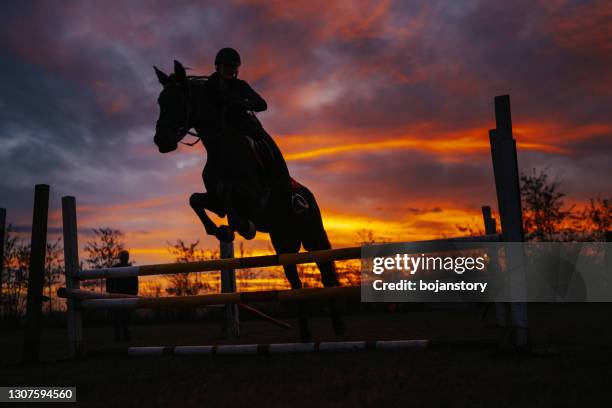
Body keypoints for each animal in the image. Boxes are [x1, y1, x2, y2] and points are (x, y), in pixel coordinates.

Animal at [151, 61, 346, 342]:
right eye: (160, 100)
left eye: (179, 98)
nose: (161, 141)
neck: (221, 146)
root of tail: (308, 195)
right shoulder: (216, 201)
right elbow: (196, 199)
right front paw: (221, 231)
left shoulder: (254, 197)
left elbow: (227, 189)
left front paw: (244, 227)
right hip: (284, 242)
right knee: (296, 283)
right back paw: (305, 333)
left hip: (313, 236)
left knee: (326, 273)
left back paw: (339, 326)